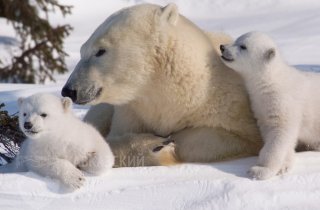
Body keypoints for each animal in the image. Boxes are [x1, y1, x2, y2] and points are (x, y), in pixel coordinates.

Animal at [61, 3, 262, 167]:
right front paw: (153, 144)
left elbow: (228, 137)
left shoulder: (229, 106)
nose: (69, 90)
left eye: (100, 51)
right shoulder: (132, 112)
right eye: (82, 50)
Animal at [220, 30, 320, 179]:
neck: (271, 81)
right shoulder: (261, 106)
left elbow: (279, 133)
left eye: (243, 46)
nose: (222, 47)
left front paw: (260, 170)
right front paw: (284, 165)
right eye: (237, 40)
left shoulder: (283, 102)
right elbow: (272, 132)